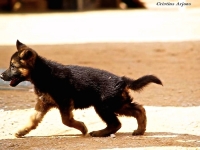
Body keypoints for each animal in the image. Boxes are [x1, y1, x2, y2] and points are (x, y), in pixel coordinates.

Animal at [0, 40, 162, 138]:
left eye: (13, 66)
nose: (1, 75)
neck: (43, 74)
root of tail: (121, 79)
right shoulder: (43, 103)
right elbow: (33, 119)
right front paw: (21, 131)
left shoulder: (64, 102)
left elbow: (66, 120)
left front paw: (82, 127)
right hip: (117, 104)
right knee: (139, 110)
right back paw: (140, 130)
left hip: (104, 106)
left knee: (117, 123)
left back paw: (99, 133)